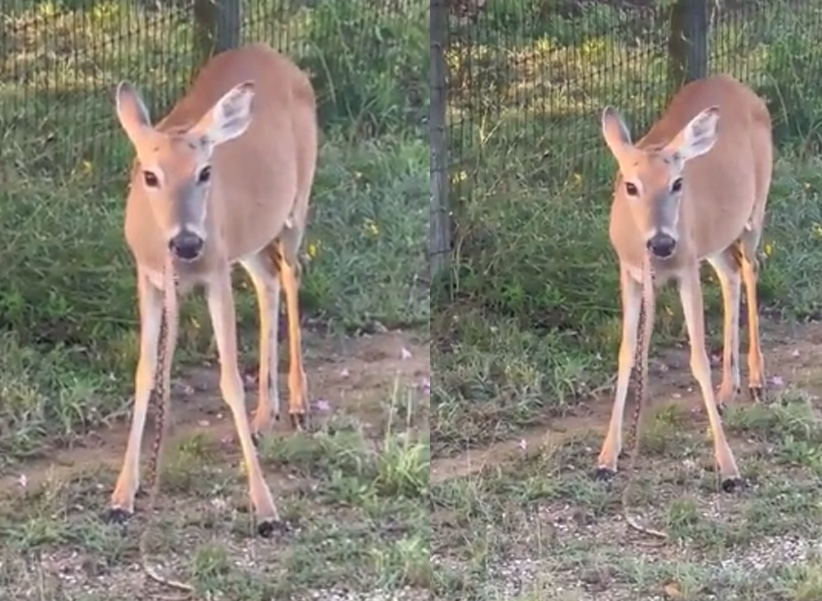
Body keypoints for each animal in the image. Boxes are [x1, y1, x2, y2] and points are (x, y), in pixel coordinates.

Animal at [106, 43, 318, 540]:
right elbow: (147, 373)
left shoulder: (215, 274)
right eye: (149, 175)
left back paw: (298, 404)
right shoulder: (150, 278)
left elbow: (229, 381)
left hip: (295, 204)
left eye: (205, 172)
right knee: (268, 279)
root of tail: (278, 57)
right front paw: (124, 493)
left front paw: (266, 509)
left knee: (292, 272)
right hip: (248, 238)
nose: (187, 242)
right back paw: (264, 416)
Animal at [596, 74, 776, 492]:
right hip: (713, 240)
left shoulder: (685, 270)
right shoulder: (630, 272)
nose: (663, 242)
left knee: (750, 268)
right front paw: (609, 455)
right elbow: (628, 353)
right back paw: (728, 389)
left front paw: (728, 468)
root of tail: (738, 85)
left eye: (678, 183)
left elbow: (697, 359)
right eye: (630, 185)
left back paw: (756, 380)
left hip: (754, 209)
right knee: (730, 273)